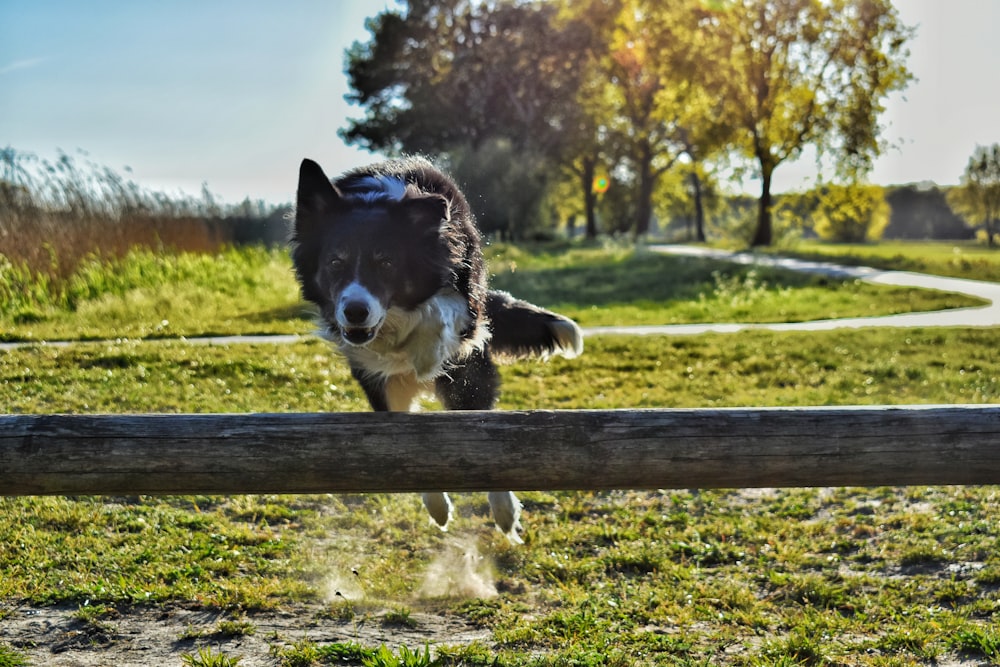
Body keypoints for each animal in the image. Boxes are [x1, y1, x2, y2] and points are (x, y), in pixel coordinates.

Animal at [292, 158, 584, 544]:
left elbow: (439, 314)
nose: (355, 312)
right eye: (335, 263)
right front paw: (436, 503)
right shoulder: (379, 382)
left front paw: (426, 347)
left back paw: (505, 513)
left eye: (386, 263)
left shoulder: (465, 309)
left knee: (488, 435)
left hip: (469, 379)